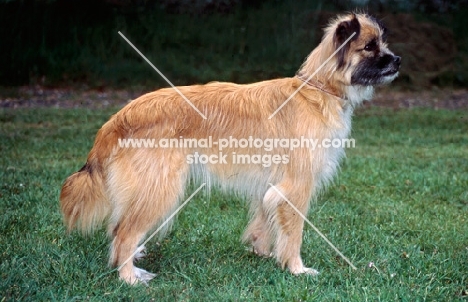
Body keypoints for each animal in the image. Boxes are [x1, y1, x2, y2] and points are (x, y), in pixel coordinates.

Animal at [60, 12, 400, 286]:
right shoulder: (296, 186)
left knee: (117, 227)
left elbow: (265, 223)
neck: (318, 90)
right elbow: (294, 234)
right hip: (159, 188)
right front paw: (296, 269)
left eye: (381, 42)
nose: (397, 60)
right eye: (370, 46)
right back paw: (129, 277)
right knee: (123, 232)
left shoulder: (271, 187)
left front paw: (264, 253)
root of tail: (119, 118)